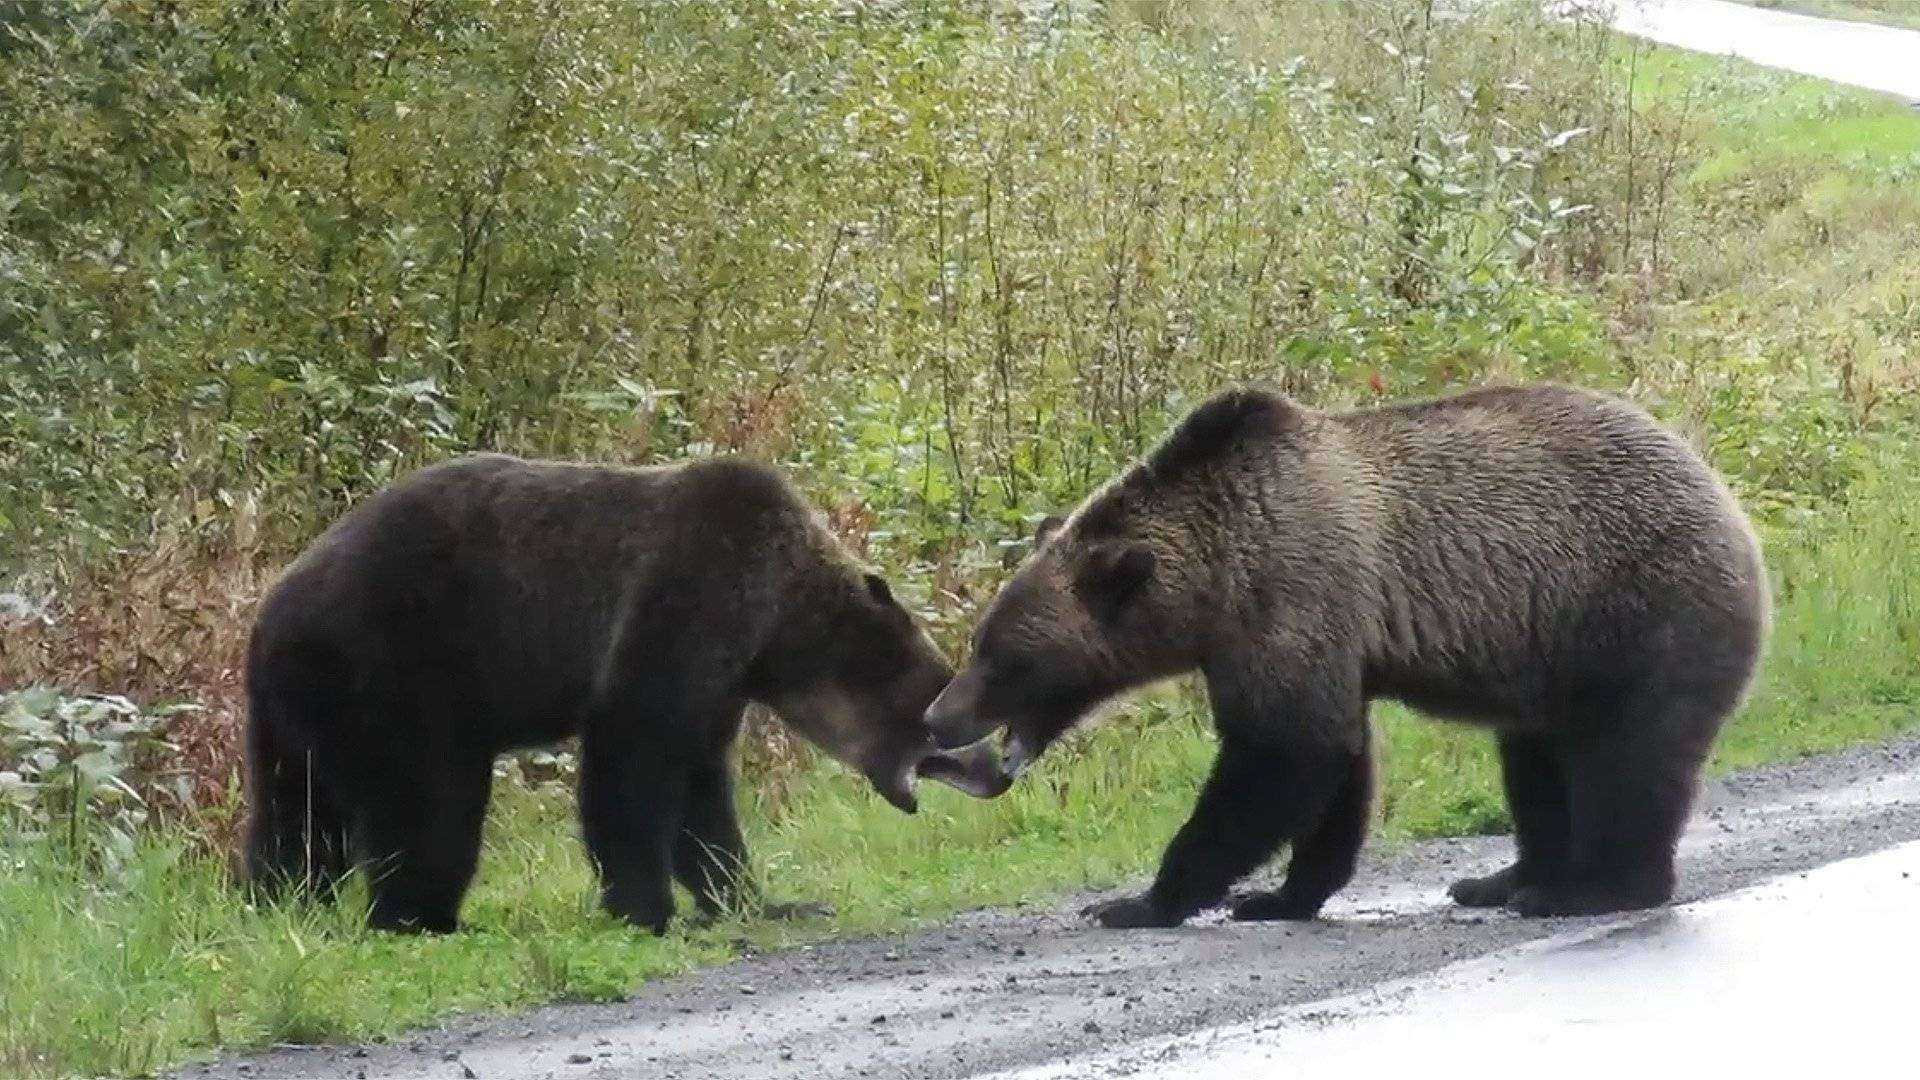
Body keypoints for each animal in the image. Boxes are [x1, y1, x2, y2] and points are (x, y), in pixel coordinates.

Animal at [241, 449, 1013, 930]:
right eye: (945, 713)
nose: (998, 770)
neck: (776, 633)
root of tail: (270, 613)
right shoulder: (688, 598)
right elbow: (634, 756)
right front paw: (647, 907)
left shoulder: (720, 683)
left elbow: (702, 792)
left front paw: (760, 899)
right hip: (402, 669)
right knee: (432, 802)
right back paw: (422, 917)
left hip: (300, 707)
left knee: (294, 819)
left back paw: (280, 903)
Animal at [929, 380, 1766, 926]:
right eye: (979, 640)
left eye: (1005, 655)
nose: (938, 716)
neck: (1217, 576)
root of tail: (1729, 501)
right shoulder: (1287, 639)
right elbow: (1335, 760)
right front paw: (1279, 895)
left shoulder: (1293, 594)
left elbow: (1283, 754)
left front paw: (1143, 900)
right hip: (1552, 656)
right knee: (1535, 760)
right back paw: (1502, 878)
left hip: (1634, 614)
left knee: (1628, 759)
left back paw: (1593, 889)